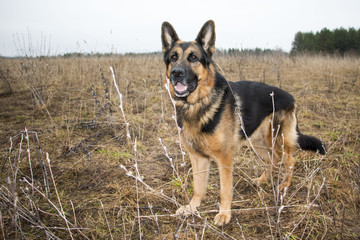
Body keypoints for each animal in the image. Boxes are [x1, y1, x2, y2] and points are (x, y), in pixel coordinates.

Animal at [162, 20, 324, 227]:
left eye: (193, 57)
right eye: (173, 58)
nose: (176, 73)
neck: (198, 103)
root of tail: (291, 97)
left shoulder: (224, 158)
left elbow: (225, 190)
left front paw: (224, 214)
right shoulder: (197, 158)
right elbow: (198, 187)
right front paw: (192, 207)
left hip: (277, 140)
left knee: (290, 161)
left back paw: (284, 186)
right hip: (259, 143)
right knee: (272, 161)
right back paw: (262, 180)